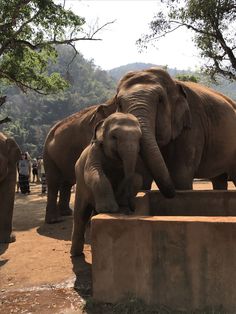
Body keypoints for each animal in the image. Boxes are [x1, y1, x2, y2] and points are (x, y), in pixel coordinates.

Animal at [71, 111, 142, 256]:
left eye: (140, 138)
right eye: (114, 137)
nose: (132, 209)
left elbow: (138, 177)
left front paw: (121, 204)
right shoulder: (95, 151)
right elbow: (94, 173)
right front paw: (109, 209)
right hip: (80, 186)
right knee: (80, 216)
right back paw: (75, 254)